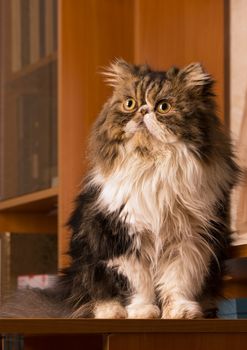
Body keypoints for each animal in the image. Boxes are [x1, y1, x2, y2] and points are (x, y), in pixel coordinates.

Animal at [0, 60, 239, 320]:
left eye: (164, 107)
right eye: (130, 103)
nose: (143, 111)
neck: (152, 167)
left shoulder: (189, 240)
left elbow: (178, 282)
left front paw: (180, 311)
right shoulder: (120, 237)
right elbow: (137, 284)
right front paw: (143, 311)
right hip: (86, 263)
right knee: (92, 297)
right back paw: (112, 312)